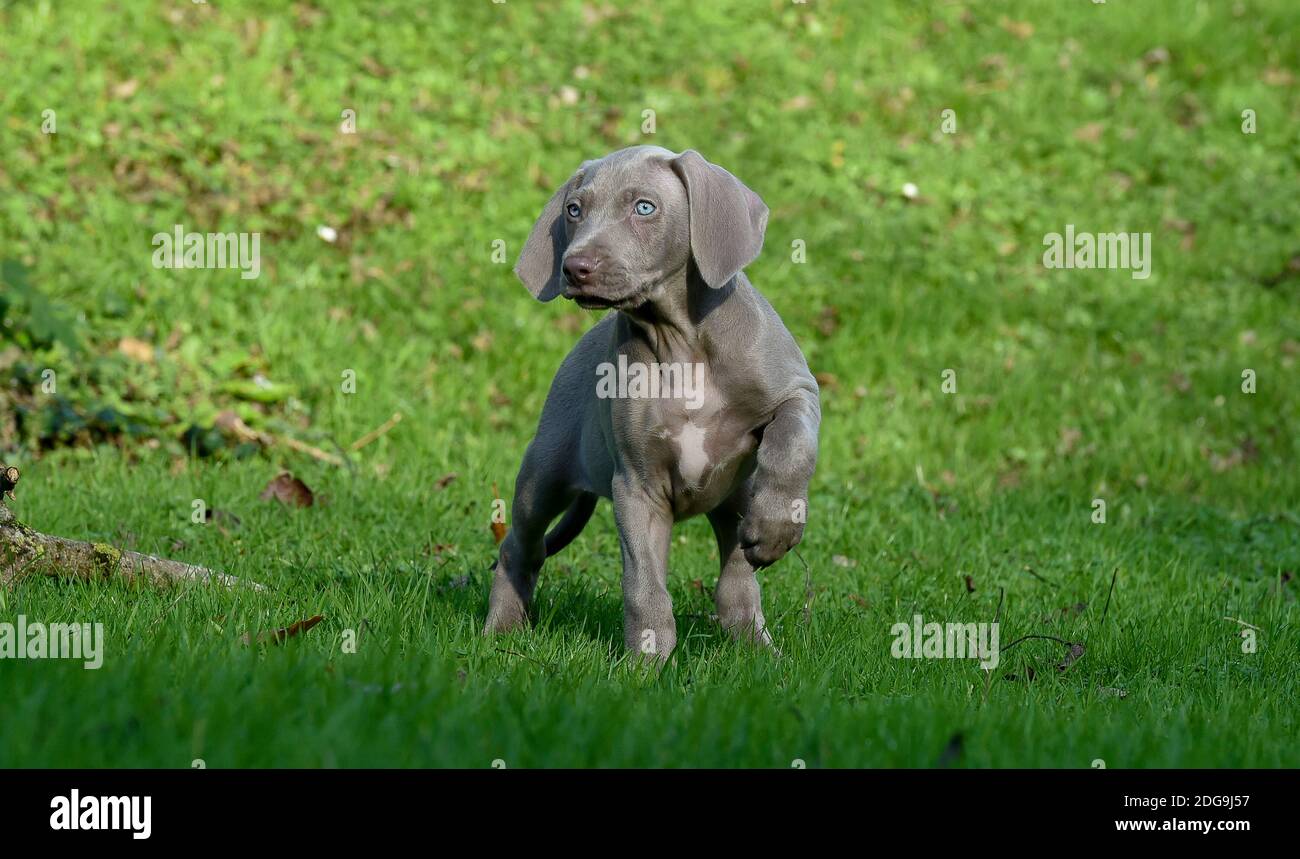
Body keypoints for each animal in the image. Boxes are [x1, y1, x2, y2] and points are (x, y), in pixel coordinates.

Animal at [483, 145, 816, 657]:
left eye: (644, 207)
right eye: (574, 210)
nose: (574, 267)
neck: (680, 341)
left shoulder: (798, 390)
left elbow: (791, 443)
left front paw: (777, 526)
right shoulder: (637, 487)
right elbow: (644, 586)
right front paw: (646, 662)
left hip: (735, 497)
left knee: (736, 579)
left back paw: (758, 650)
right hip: (543, 475)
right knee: (519, 547)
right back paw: (500, 631)